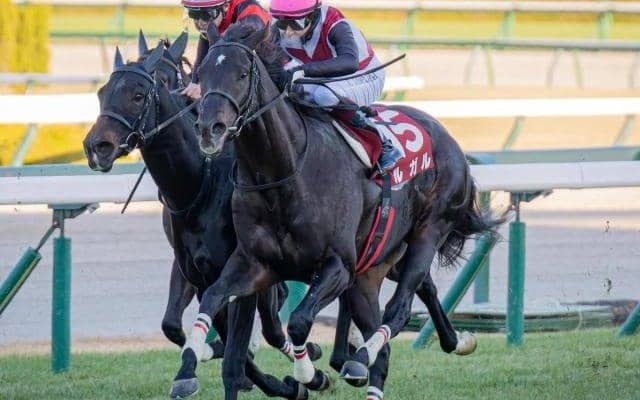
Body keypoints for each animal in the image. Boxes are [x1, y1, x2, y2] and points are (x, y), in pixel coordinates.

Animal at [82, 32, 318, 400]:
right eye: (101, 93)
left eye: (138, 95)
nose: (97, 147)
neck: (198, 185)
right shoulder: (195, 271)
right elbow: (177, 326)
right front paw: (195, 367)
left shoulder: (241, 273)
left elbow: (235, 357)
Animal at [169, 22, 502, 400]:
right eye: (202, 75)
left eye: (241, 74)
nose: (209, 129)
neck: (284, 172)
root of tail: (449, 139)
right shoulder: (254, 263)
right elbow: (212, 299)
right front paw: (187, 369)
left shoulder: (338, 265)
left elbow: (299, 322)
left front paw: (307, 373)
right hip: (371, 270)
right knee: (394, 328)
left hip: (427, 232)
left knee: (399, 309)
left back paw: (364, 356)